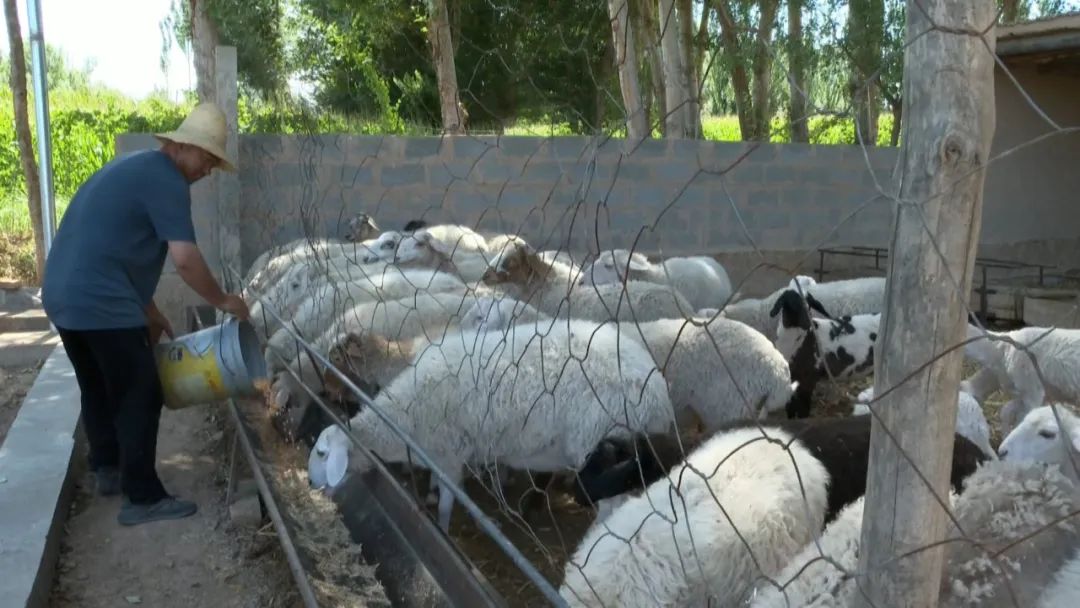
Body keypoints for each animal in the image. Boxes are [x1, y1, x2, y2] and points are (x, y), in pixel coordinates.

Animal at [304, 319, 673, 533]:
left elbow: (448, 502)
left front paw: (443, 527)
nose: (308, 482)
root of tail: (657, 389)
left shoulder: (448, 455)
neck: (405, 417)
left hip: (601, 443)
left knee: (611, 508)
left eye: (322, 453)